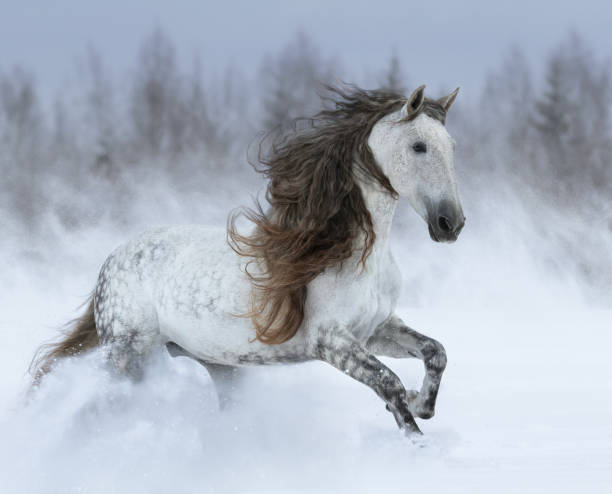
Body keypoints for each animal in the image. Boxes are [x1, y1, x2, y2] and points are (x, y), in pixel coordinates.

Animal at [31, 85, 464, 436]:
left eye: (451, 146)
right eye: (418, 146)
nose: (451, 223)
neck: (354, 254)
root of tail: (111, 261)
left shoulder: (375, 330)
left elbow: (436, 352)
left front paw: (421, 404)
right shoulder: (330, 341)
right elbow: (388, 382)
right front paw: (415, 438)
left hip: (219, 366)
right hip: (129, 359)